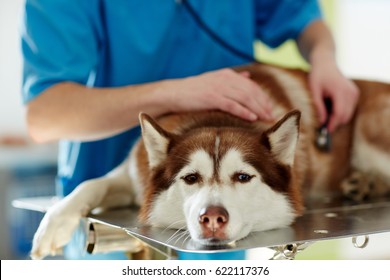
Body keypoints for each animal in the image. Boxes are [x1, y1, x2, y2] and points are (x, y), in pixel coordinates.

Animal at [31, 64, 390, 260]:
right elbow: (89, 184)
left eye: (243, 177)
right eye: (190, 178)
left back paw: (368, 183)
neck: (215, 115)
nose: (212, 218)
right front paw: (53, 225)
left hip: (370, 126)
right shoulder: (133, 174)